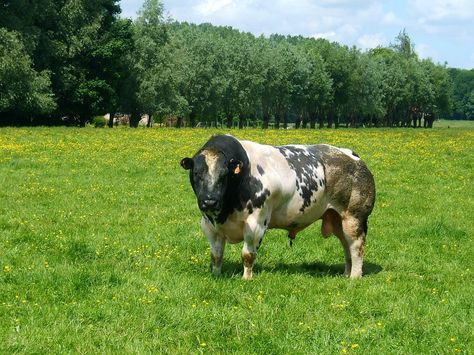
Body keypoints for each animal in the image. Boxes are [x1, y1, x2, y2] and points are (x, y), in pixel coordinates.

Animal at [180, 135, 376, 280]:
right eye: (196, 173)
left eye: (224, 175)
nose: (209, 202)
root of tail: (352, 156)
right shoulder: (209, 226)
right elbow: (216, 255)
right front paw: (216, 275)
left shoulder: (256, 223)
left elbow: (247, 254)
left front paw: (246, 278)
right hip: (337, 219)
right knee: (346, 245)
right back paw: (346, 273)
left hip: (354, 217)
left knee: (356, 246)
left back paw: (355, 277)